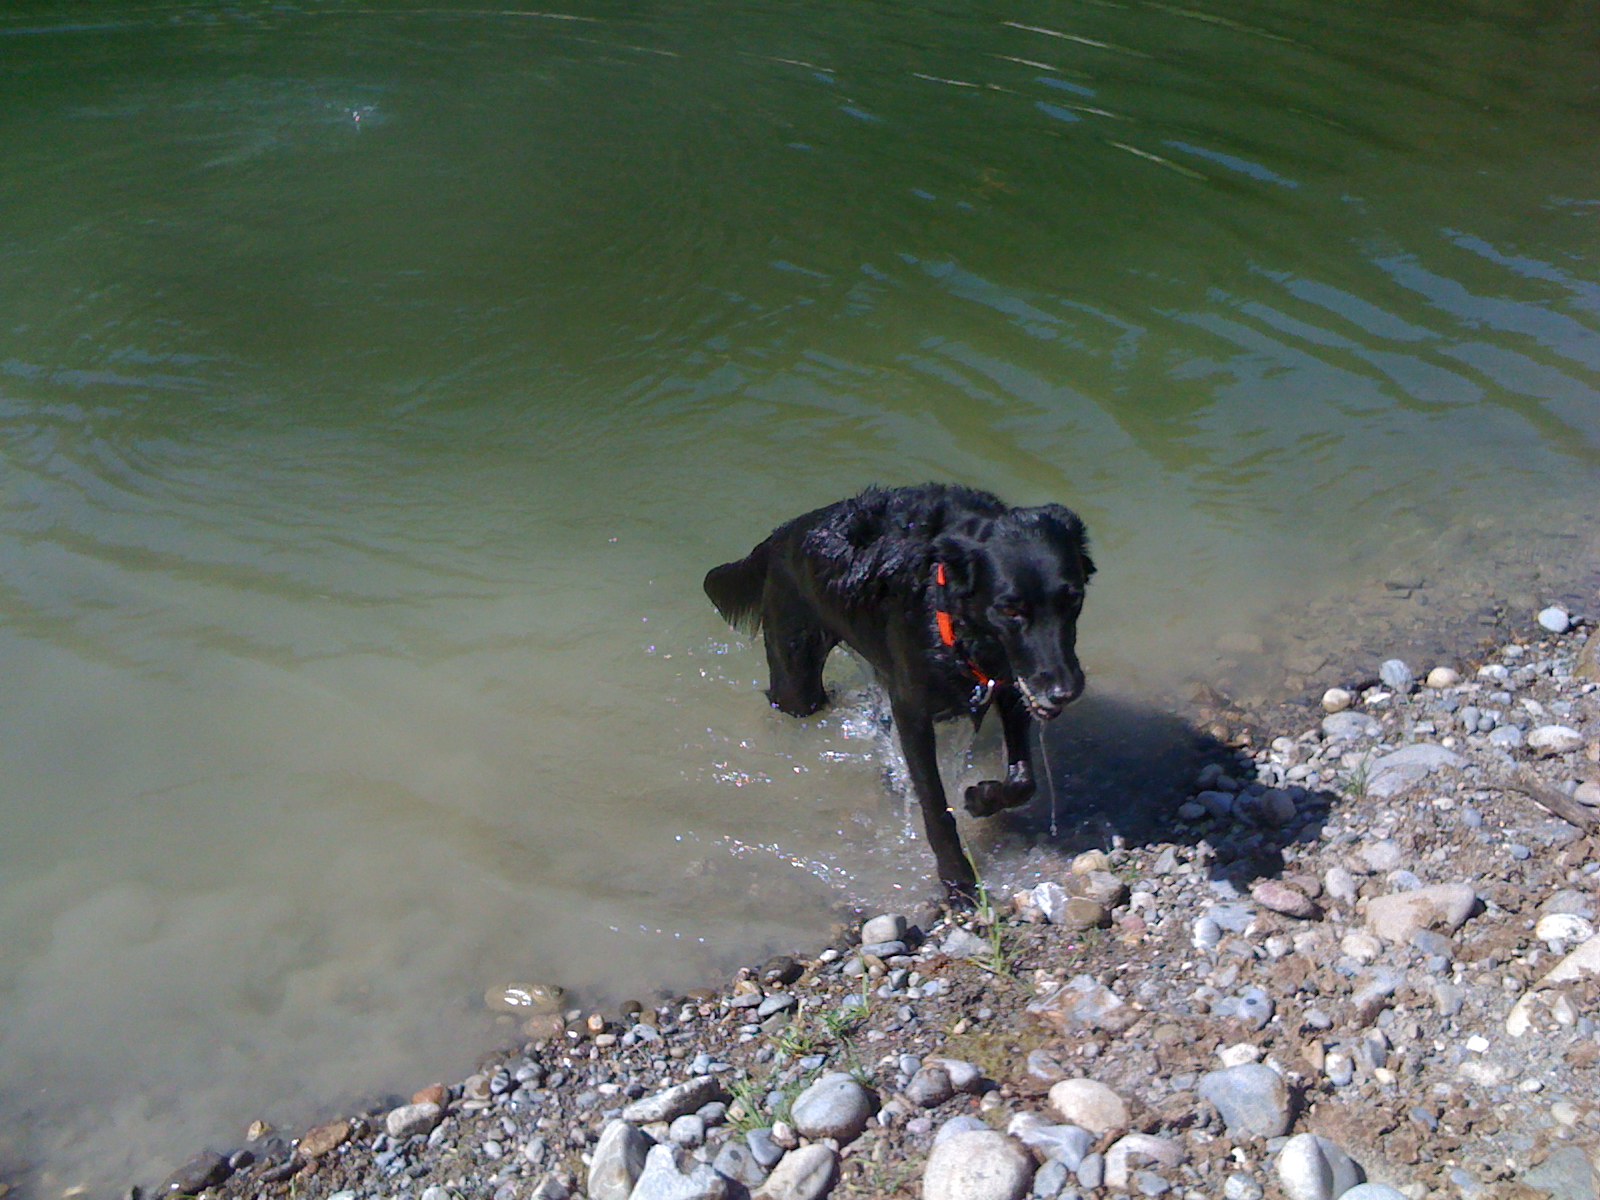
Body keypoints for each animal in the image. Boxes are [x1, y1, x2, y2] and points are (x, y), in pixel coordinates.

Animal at [703, 483, 1094, 902]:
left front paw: (980, 797)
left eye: (1073, 599)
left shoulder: (1011, 685)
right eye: (1010, 610)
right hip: (796, 678)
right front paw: (957, 877)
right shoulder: (913, 710)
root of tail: (783, 533)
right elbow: (935, 804)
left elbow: (1023, 779)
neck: (950, 616)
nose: (1065, 690)